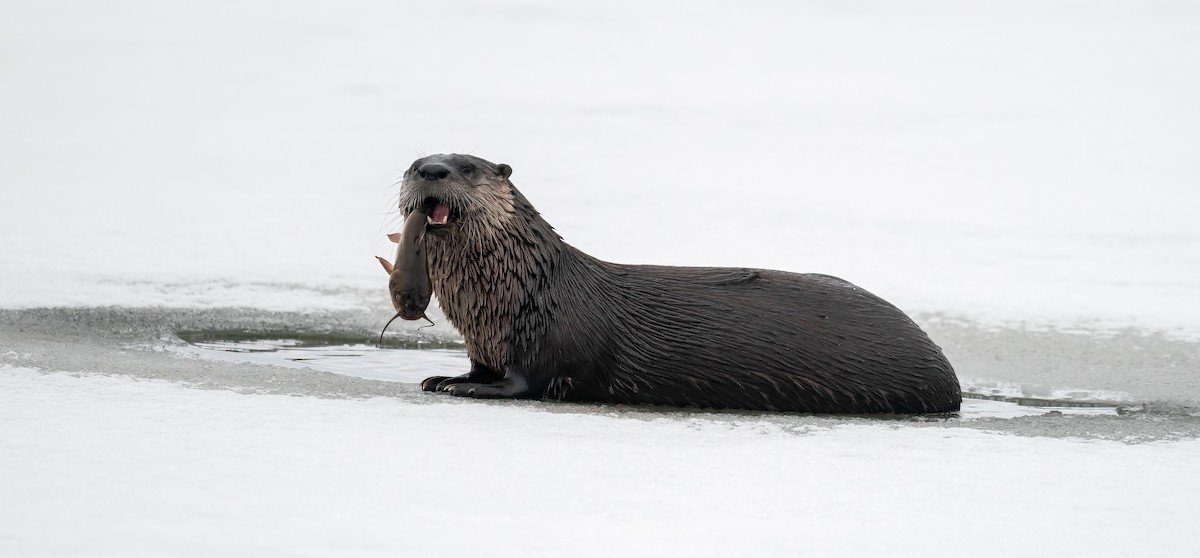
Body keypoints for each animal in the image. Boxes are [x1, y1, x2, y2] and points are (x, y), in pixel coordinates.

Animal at [387, 153, 961, 413]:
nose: (432, 169)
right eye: (416, 163)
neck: (522, 290)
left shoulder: (548, 346)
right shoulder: (486, 342)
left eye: (469, 166)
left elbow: (523, 382)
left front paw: (461, 386)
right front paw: (444, 376)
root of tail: (952, 378)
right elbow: (479, 368)